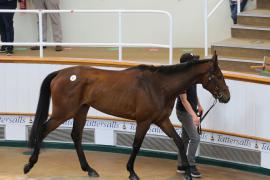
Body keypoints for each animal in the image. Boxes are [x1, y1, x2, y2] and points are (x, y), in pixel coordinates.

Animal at [23, 52, 230, 180]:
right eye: (219, 76)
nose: (227, 96)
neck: (159, 86)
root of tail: (61, 73)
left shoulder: (161, 120)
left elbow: (179, 141)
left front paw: (187, 171)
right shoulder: (144, 121)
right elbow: (136, 144)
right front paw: (131, 172)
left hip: (81, 110)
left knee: (76, 136)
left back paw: (89, 169)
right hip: (63, 113)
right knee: (43, 130)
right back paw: (29, 165)